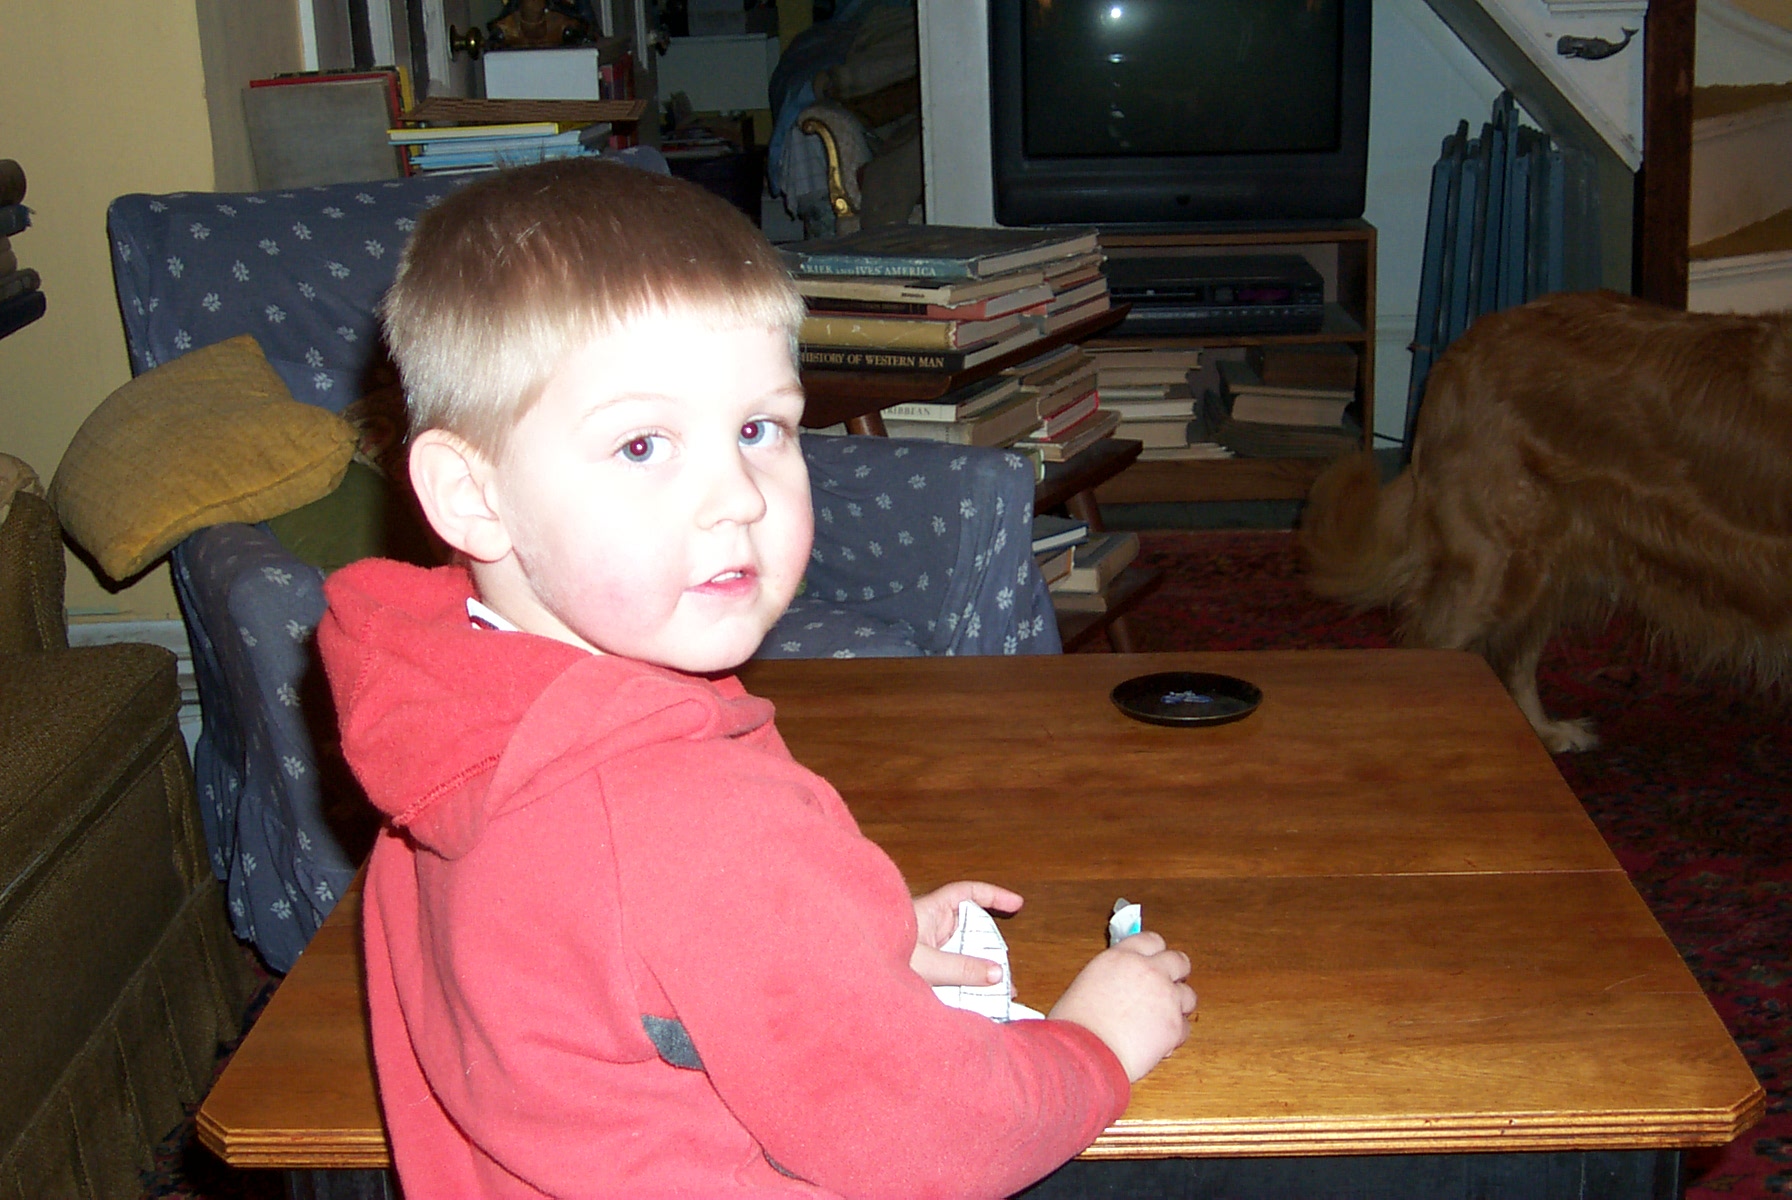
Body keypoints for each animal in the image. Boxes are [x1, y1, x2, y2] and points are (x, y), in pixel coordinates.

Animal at [1299, 290, 1792, 752]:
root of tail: (1462, 348)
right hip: (1492, 564)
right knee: (1438, 656)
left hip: (1545, 564)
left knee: (1511, 658)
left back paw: (1537, 731)